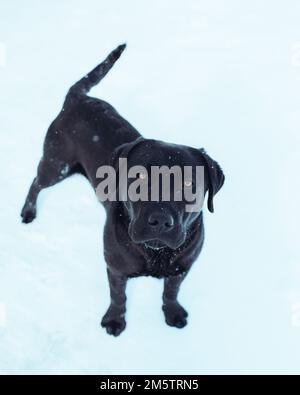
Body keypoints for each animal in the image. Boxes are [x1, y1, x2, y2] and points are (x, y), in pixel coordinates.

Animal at [21, 46, 224, 338]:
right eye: (139, 176)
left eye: (188, 184)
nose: (159, 220)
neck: (156, 254)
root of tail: (78, 99)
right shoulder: (115, 268)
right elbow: (118, 296)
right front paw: (114, 321)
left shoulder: (182, 268)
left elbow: (170, 292)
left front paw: (172, 312)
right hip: (56, 165)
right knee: (36, 182)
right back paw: (28, 212)